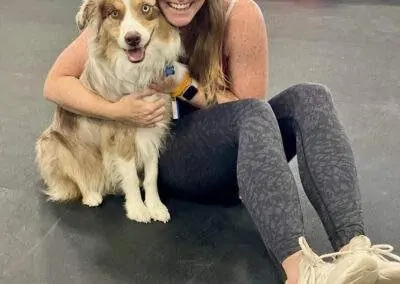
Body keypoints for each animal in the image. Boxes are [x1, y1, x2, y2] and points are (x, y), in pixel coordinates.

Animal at [34, 0, 184, 223]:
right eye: (114, 13)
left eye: (146, 8)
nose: (132, 39)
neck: (138, 73)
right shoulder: (118, 135)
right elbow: (130, 176)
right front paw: (137, 209)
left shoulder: (153, 131)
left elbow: (152, 174)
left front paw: (155, 207)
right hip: (52, 144)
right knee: (79, 175)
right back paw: (91, 195)